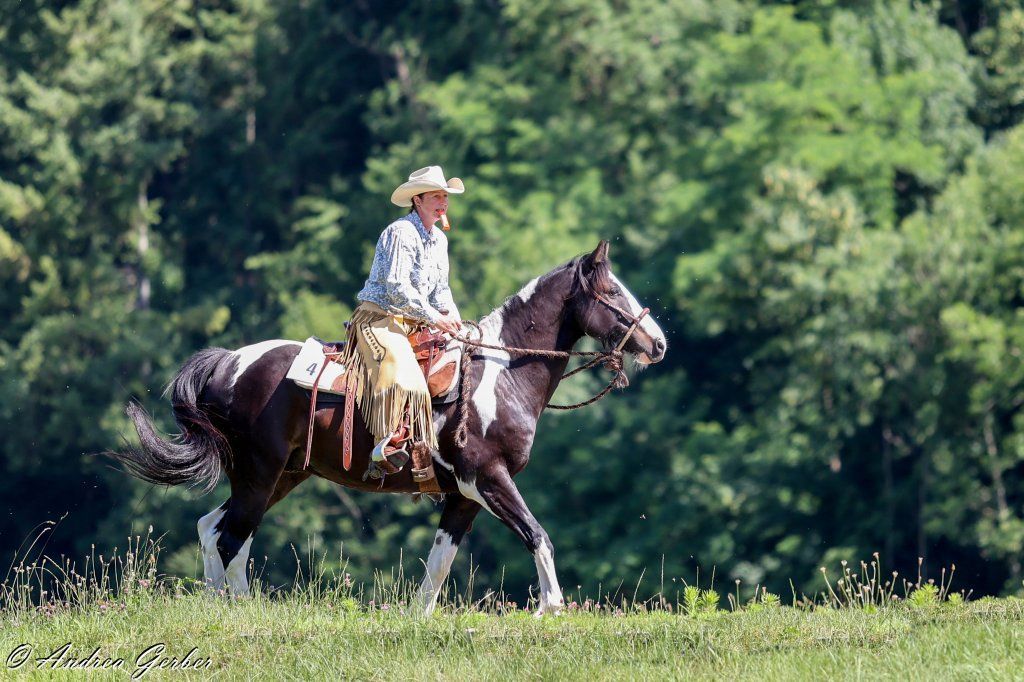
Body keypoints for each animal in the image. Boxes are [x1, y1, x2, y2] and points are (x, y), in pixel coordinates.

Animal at [109, 240, 667, 615]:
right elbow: (538, 535)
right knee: (228, 538)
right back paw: (241, 611)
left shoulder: (464, 495)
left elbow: (439, 564)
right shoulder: (488, 478)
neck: (500, 373)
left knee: (217, 530)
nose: (658, 343)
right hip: (259, 474)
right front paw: (550, 607)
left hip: (280, 476)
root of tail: (228, 363)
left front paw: (418, 619)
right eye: (611, 291)